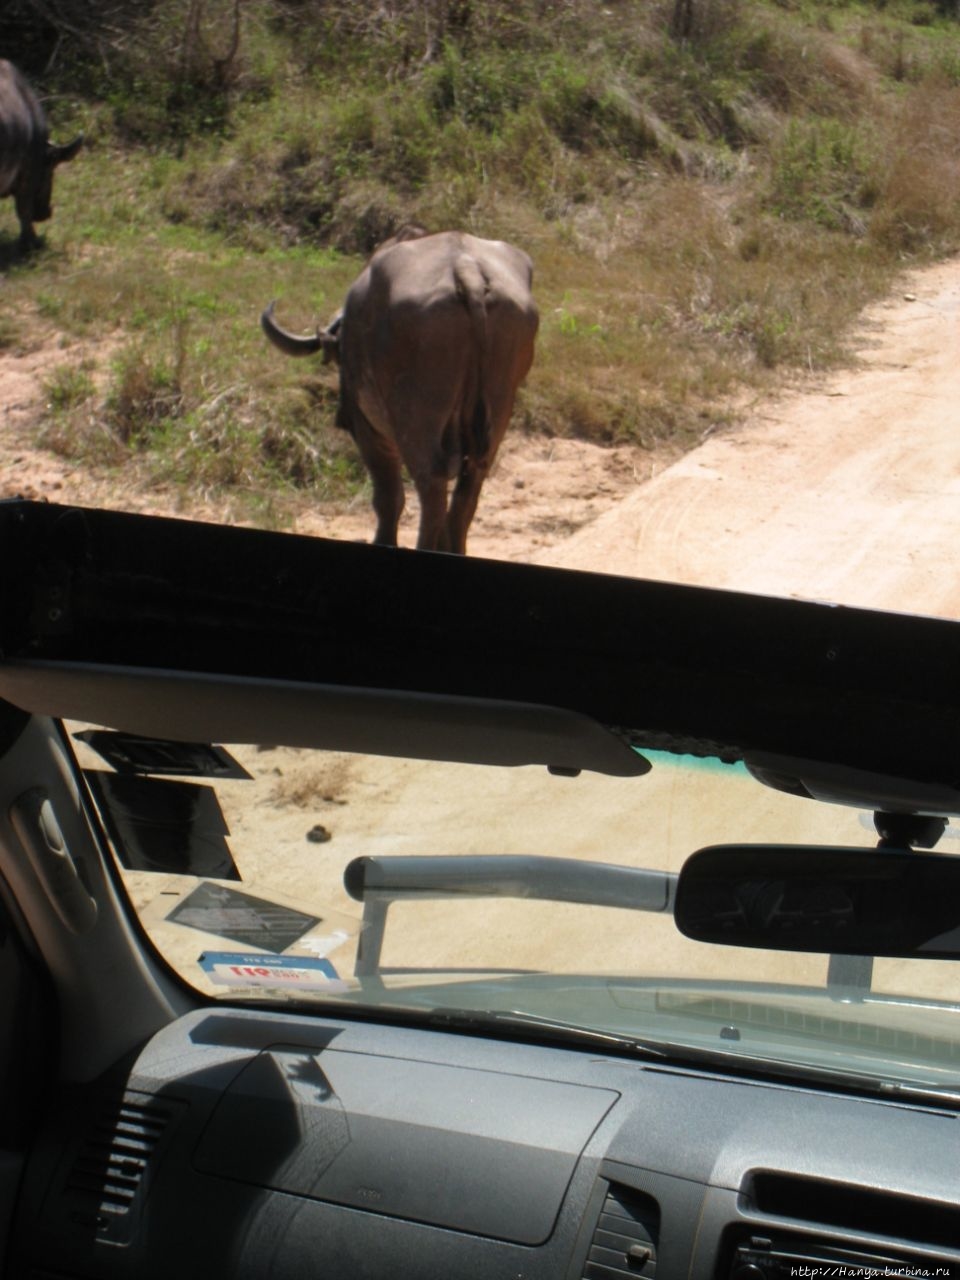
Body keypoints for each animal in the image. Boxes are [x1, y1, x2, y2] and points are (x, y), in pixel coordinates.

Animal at [261, 230, 542, 555]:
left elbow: (388, 496)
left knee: (430, 486)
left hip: (417, 417)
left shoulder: (368, 430)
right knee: (467, 490)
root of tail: (466, 268)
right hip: (498, 410)